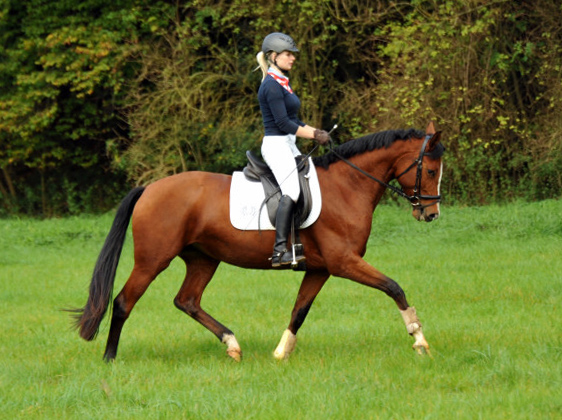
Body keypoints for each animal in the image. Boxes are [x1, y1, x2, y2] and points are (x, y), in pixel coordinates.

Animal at [73, 120, 442, 360]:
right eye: (432, 170)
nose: (431, 214)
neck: (347, 186)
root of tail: (149, 188)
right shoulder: (344, 262)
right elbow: (394, 287)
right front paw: (419, 338)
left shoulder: (319, 269)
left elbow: (299, 310)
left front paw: (280, 353)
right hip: (153, 260)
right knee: (124, 301)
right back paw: (110, 358)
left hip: (203, 258)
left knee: (187, 300)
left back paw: (232, 344)